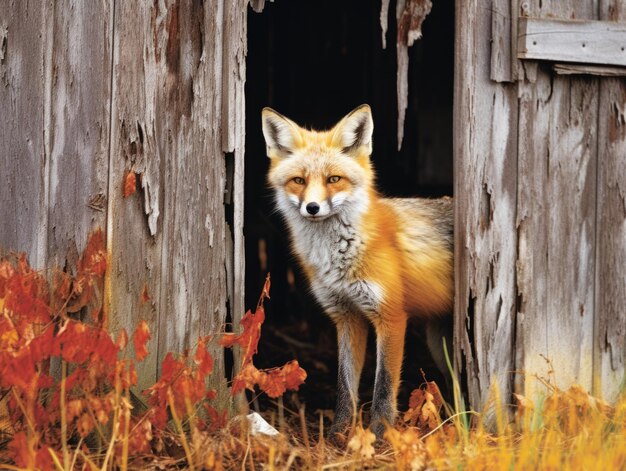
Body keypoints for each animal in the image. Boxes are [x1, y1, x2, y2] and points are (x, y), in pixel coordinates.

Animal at [260, 105, 450, 440]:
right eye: (299, 180)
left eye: (333, 179)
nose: (312, 207)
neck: (338, 257)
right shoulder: (346, 317)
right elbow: (344, 384)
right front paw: (339, 434)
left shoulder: (391, 316)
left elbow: (384, 385)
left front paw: (380, 435)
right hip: (437, 342)